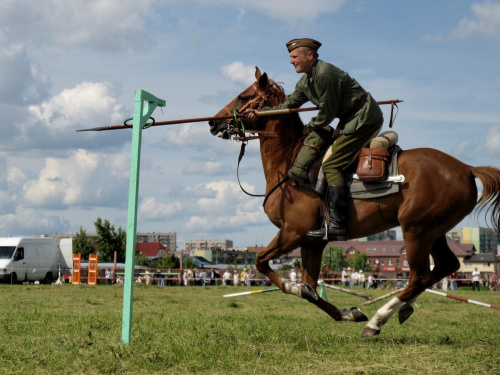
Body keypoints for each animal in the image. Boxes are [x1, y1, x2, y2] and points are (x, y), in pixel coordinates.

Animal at [208, 68, 500, 338]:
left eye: (243, 96)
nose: (212, 123)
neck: (289, 161)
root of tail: (467, 168)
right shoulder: (312, 241)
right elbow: (308, 287)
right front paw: (349, 312)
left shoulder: (293, 232)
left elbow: (264, 264)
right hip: (435, 232)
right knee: (445, 267)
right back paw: (402, 308)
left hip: (416, 231)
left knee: (420, 276)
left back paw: (378, 320)